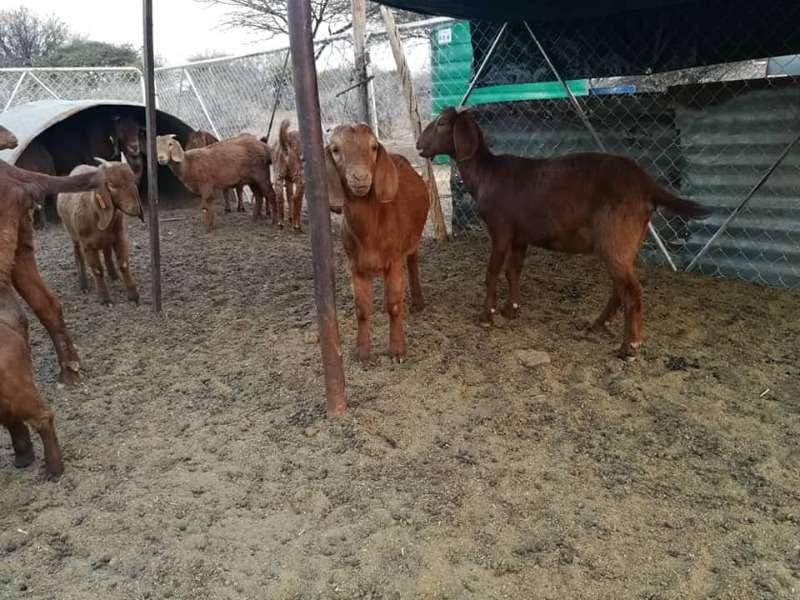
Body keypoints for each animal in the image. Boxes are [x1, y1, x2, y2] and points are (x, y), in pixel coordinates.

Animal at [57, 161, 144, 305]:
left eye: (134, 181)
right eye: (111, 185)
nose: (135, 209)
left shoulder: (119, 236)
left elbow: (123, 264)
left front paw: (134, 296)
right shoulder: (87, 244)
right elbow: (97, 270)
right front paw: (105, 299)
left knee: (107, 252)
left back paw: (113, 275)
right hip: (72, 233)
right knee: (78, 254)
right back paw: (83, 285)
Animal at [326, 123, 429, 362]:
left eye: (373, 147)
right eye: (335, 149)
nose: (360, 177)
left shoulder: (395, 258)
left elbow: (395, 304)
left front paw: (397, 350)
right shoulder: (355, 265)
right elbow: (362, 308)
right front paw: (362, 352)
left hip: (412, 240)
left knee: (413, 264)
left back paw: (418, 301)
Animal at [417, 107, 710, 358]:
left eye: (442, 123)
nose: (419, 145)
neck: (487, 174)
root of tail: (647, 184)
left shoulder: (501, 229)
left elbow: (492, 272)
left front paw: (486, 316)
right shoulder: (521, 236)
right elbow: (513, 271)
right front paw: (511, 310)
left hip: (616, 238)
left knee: (632, 292)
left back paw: (629, 347)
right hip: (629, 242)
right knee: (620, 287)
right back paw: (598, 324)